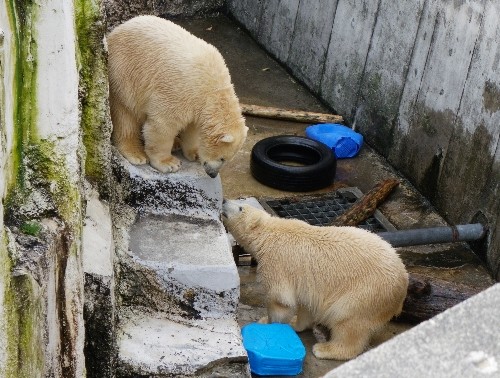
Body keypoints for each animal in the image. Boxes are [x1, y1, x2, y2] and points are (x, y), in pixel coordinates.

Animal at [106, 15, 247, 178]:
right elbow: (163, 125)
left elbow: (192, 128)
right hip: (124, 75)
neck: (213, 90)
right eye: (222, 158)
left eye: (227, 160)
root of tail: (115, 31)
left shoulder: (197, 104)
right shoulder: (180, 91)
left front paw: (195, 153)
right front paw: (169, 163)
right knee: (126, 115)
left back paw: (176, 143)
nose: (212, 174)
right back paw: (136, 153)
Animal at [221, 198, 408, 360]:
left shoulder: (278, 263)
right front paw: (295, 323)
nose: (223, 200)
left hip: (366, 293)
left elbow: (280, 301)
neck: (270, 233)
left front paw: (268, 323)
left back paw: (325, 349)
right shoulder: (308, 282)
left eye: (240, 207)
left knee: (348, 320)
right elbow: (307, 305)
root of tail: (404, 281)